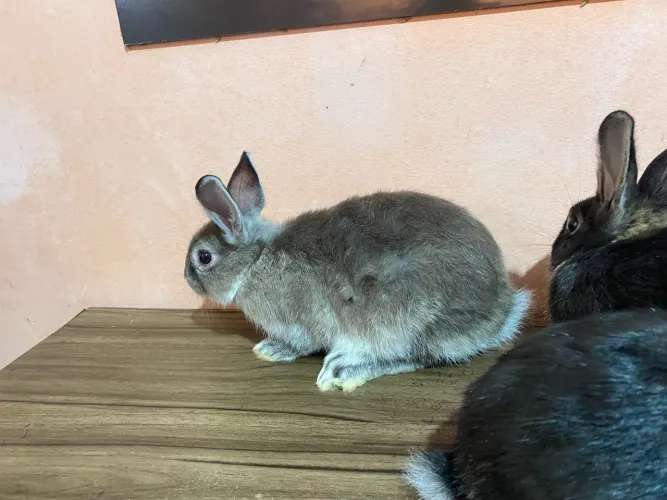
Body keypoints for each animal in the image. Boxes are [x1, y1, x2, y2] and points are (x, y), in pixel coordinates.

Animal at [184, 151, 531, 392]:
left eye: (204, 257)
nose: (187, 278)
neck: (255, 262)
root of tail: (502, 312)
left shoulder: (299, 322)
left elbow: (300, 344)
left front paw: (272, 350)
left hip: (408, 320)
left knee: (414, 357)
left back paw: (344, 370)